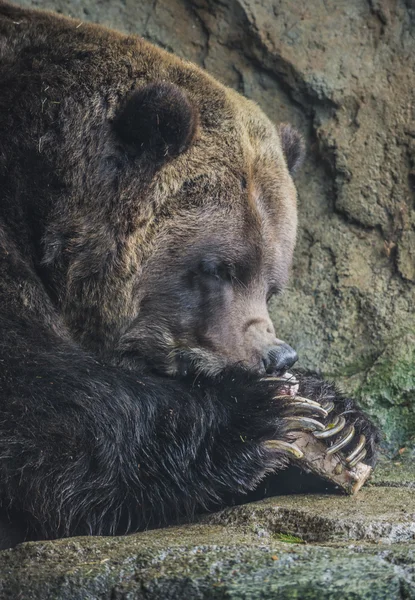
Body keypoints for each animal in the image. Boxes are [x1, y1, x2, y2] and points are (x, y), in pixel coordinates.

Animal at [0, 1, 378, 548]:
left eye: (273, 283)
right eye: (218, 268)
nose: (276, 355)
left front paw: (342, 424)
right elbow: (48, 403)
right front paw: (260, 420)